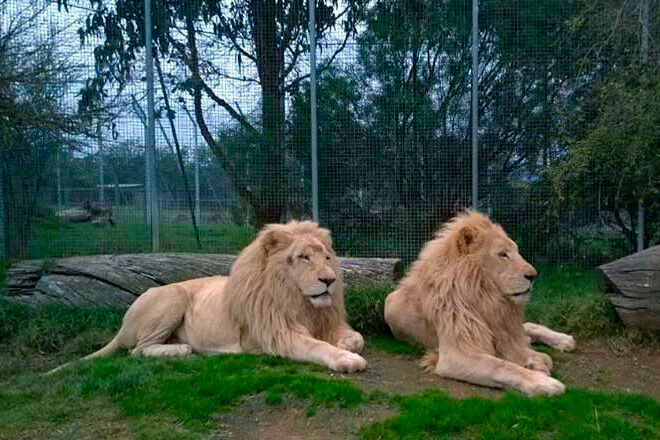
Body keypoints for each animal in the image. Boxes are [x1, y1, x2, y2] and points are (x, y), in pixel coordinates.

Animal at [47, 220, 366, 374]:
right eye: (303, 257)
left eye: (327, 257)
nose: (329, 280)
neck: (298, 300)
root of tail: (123, 326)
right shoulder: (276, 334)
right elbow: (316, 346)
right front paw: (346, 359)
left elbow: (357, 337)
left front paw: (346, 344)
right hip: (172, 297)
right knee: (136, 350)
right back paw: (181, 350)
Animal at [384, 211, 576, 398]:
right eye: (502, 254)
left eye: (516, 251)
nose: (533, 275)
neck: (486, 298)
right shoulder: (455, 356)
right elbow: (501, 366)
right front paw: (544, 382)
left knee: (526, 328)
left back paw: (563, 340)